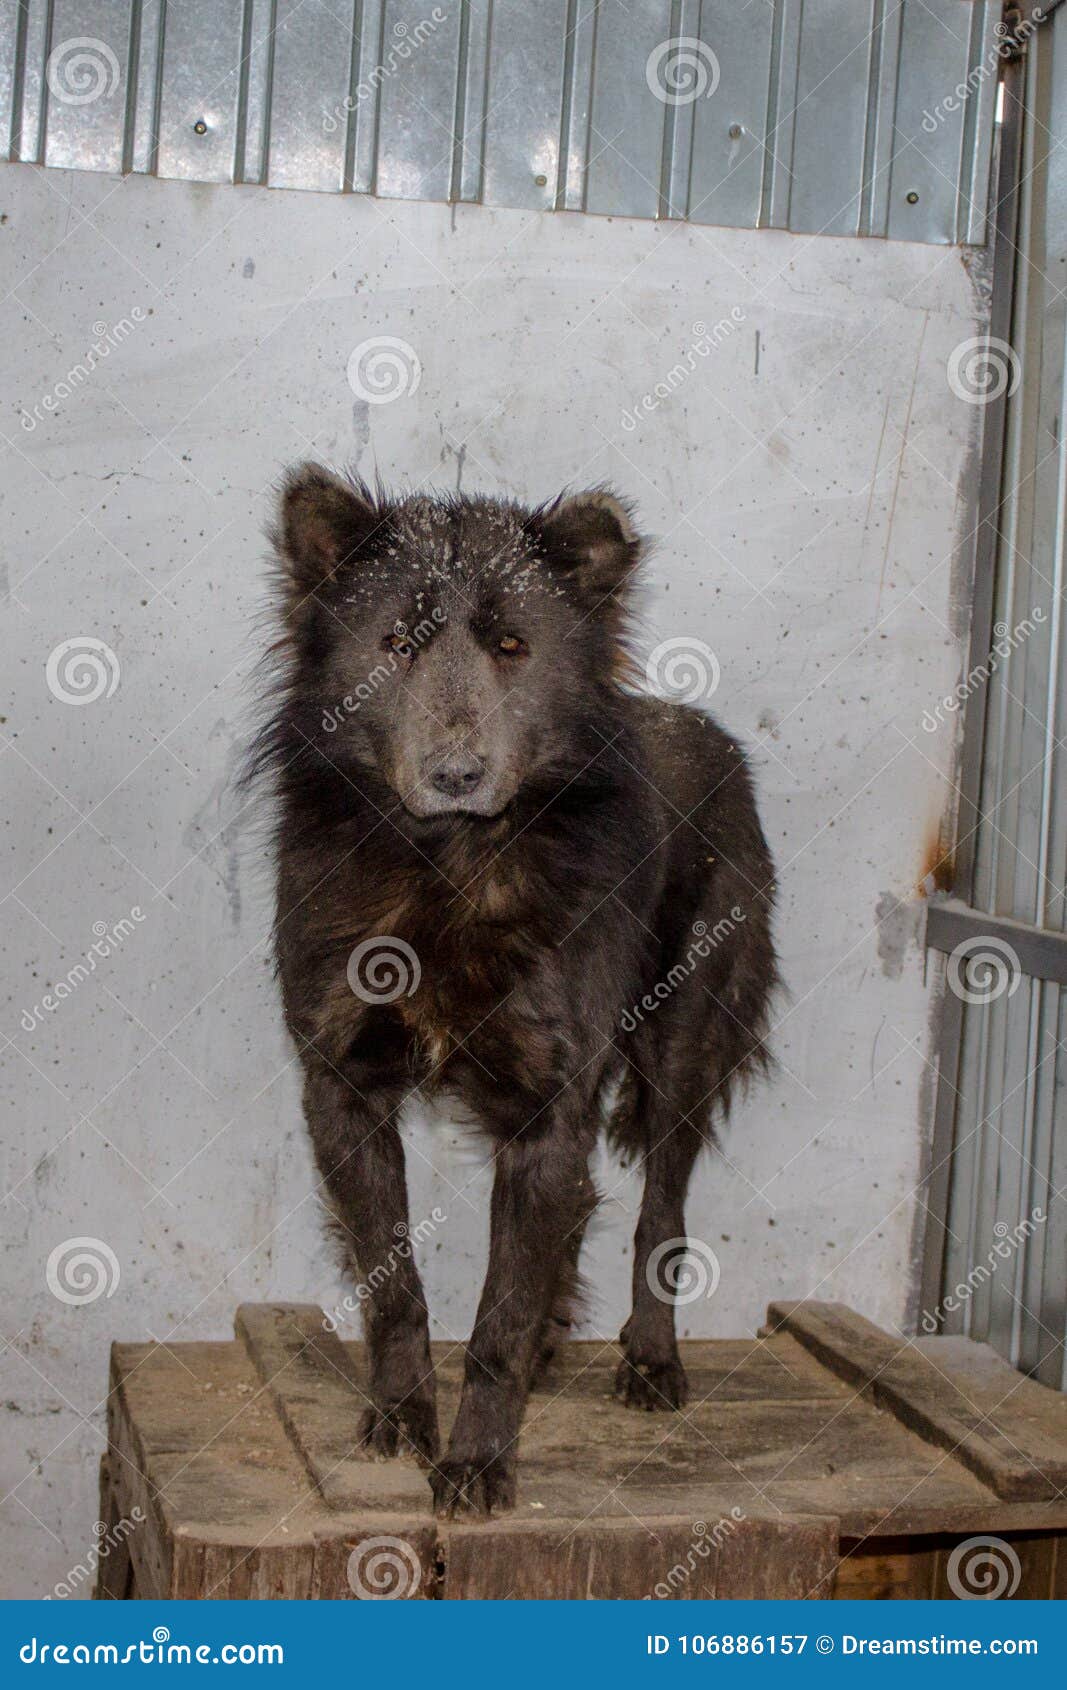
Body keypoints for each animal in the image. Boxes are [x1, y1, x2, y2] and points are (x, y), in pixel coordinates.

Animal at [255, 463, 781, 1521]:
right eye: (396, 644)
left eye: (511, 647)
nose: (456, 774)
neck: (447, 867)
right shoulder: (342, 1089)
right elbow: (395, 1284)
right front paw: (402, 1413)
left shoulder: (548, 1107)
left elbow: (497, 1316)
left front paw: (476, 1461)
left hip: (680, 1051)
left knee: (658, 1215)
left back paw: (650, 1360)